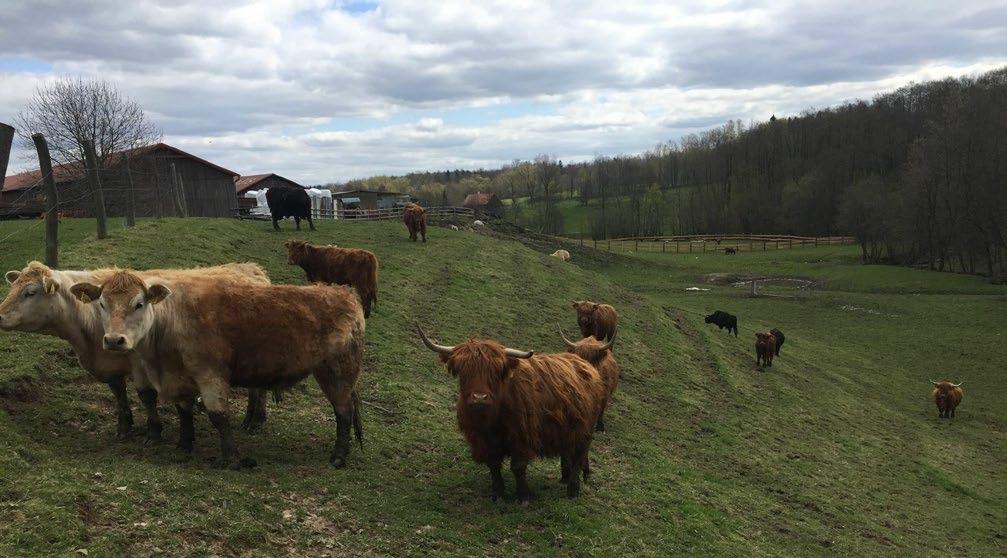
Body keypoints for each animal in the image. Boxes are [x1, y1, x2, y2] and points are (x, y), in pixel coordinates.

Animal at [0, 261, 271, 443]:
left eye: (30, 292)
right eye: (12, 289)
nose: (0, 316)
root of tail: (251, 269)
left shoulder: (141, 364)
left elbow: (146, 396)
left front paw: (154, 431)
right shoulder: (110, 365)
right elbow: (119, 393)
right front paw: (124, 426)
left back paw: (255, 420)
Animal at [73, 269, 368, 469]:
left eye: (139, 303)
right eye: (102, 304)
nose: (114, 340)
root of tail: (345, 293)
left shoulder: (210, 376)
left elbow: (218, 416)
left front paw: (231, 458)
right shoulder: (181, 377)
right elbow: (184, 412)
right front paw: (184, 445)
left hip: (338, 373)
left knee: (344, 412)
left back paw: (338, 456)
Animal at [418, 324, 604, 501]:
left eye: (496, 372)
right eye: (464, 371)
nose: (479, 397)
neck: (490, 420)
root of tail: (583, 363)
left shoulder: (521, 437)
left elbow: (518, 467)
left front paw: (523, 496)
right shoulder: (482, 440)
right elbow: (493, 465)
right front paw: (498, 493)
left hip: (584, 431)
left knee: (578, 457)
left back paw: (573, 490)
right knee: (567, 453)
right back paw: (564, 478)